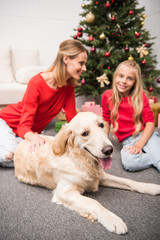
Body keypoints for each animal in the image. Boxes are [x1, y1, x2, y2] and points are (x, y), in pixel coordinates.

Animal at [13, 112, 160, 234]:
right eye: (84, 133)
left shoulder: (100, 176)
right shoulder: (64, 192)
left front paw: (150, 187)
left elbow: (128, 181)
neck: (80, 161)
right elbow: (94, 202)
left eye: (101, 125)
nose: (109, 150)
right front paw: (112, 219)